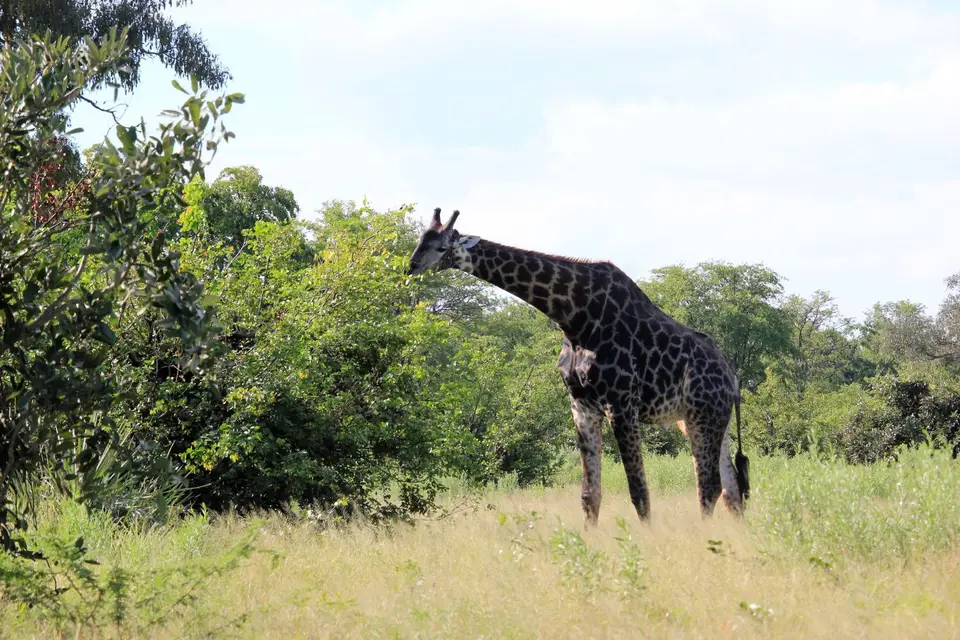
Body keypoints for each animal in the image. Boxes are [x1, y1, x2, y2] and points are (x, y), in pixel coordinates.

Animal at [408, 208, 750, 525]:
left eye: (441, 247)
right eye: (420, 241)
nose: (411, 267)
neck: (574, 318)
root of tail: (732, 378)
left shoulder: (621, 405)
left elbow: (639, 492)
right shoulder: (581, 405)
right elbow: (589, 495)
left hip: (702, 413)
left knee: (709, 486)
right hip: (701, 420)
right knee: (731, 488)